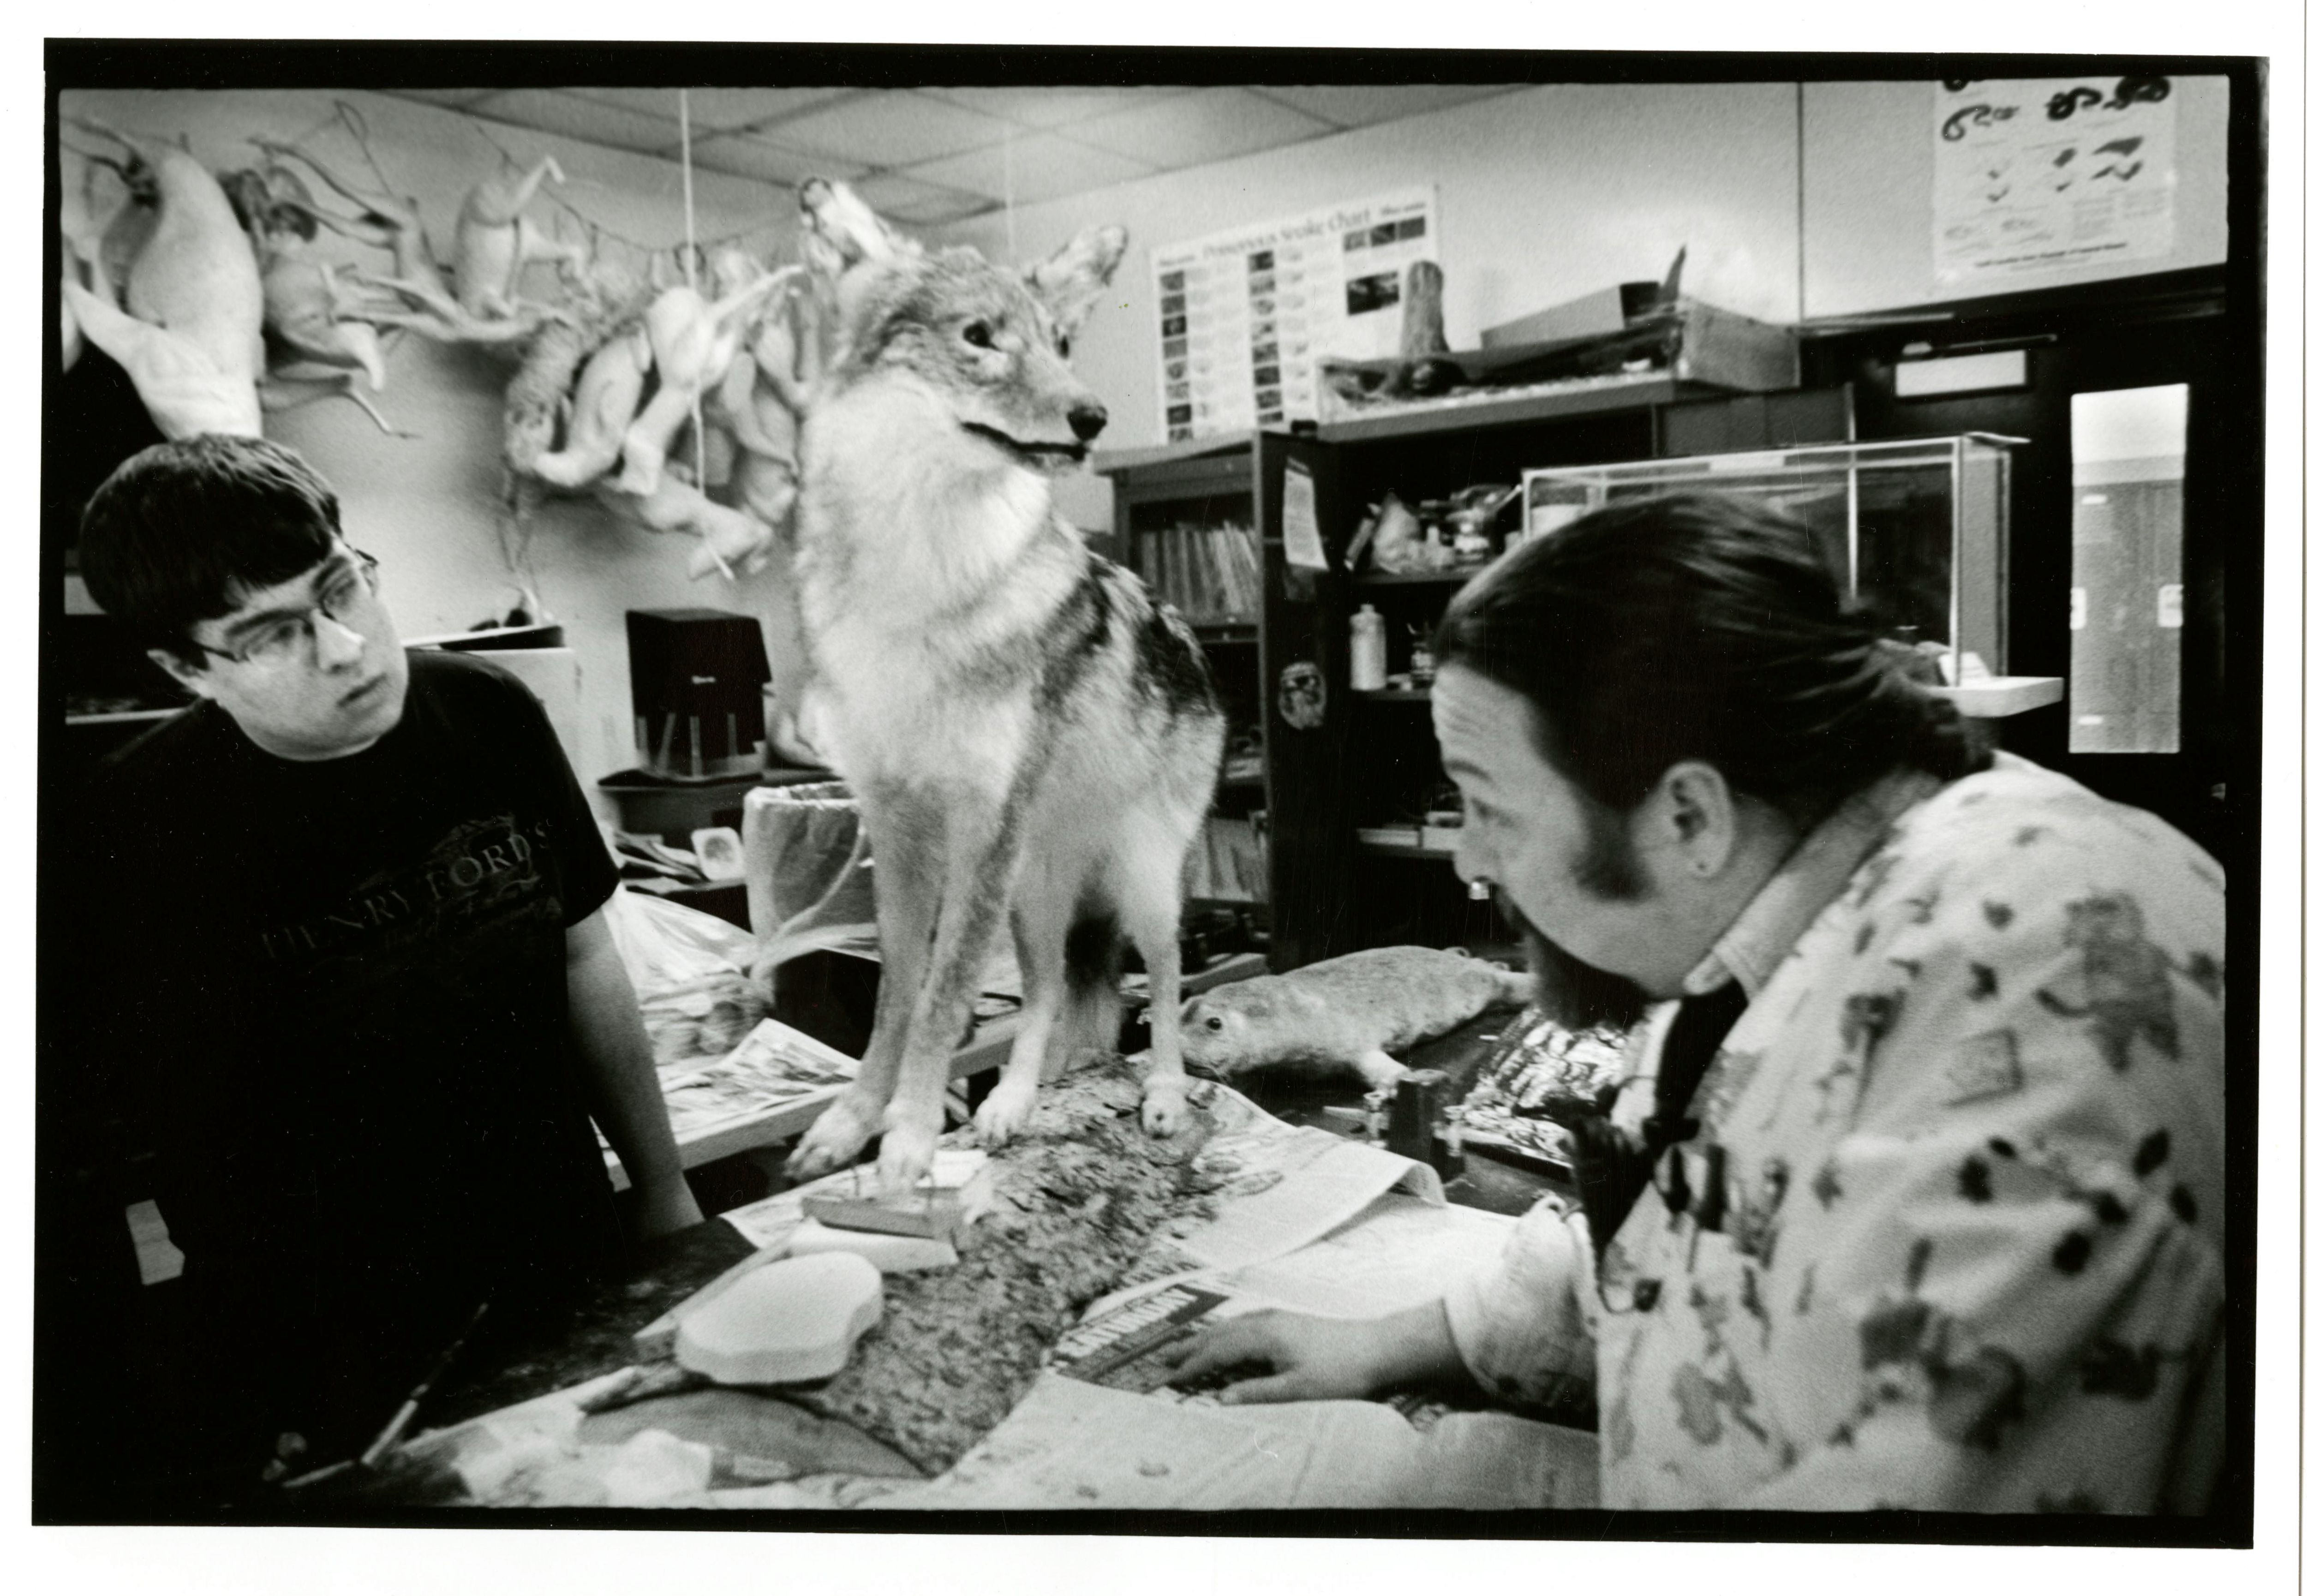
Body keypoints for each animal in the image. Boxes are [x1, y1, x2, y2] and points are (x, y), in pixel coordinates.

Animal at [780, 180, 1226, 1193]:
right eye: (980, 336)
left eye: (1060, 342)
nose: (1094, 417)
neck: (921, 591)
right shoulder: (896, 824)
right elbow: (898, 992)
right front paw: (854, 1123)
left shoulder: (983, 819)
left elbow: (946, 997)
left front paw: (907, 1139)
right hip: (1036, 889)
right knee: (1051, 991)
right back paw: (1014, 1104)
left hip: (1142, 883)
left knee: (1165, 986)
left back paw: (1164, 1094)